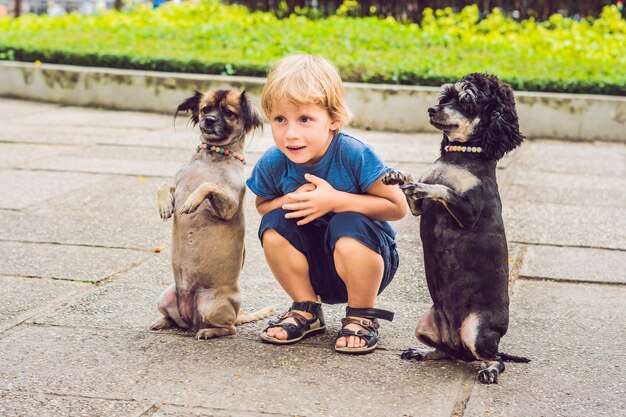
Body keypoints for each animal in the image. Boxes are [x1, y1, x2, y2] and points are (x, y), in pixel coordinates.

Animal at [150, 88, 274, 338]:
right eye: (205, 109)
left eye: (228, 112)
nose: (209, 120)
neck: (211, 159)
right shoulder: (177, 186)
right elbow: (163, 185)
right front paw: (165, 206)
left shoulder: (229, 205)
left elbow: (207, 186)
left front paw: (191, 202)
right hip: (164, 298)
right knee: (175, 320)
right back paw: (163, 322)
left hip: (212, 306)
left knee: (229, 328)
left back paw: (208, 332)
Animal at [380, 73, 528, 382]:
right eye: (444, 97)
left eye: (466, 101)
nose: (431, 110)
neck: (458, 158)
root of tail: (461, 346)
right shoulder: (417, 208)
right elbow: (411, 185)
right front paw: (398, 175)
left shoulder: (468, 212)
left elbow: (444, 190)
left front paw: (425, 185)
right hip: (425, 326)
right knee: (445, 352)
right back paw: (423, 352)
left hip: (476, 330)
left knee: (495, 358)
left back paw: (490, 370)